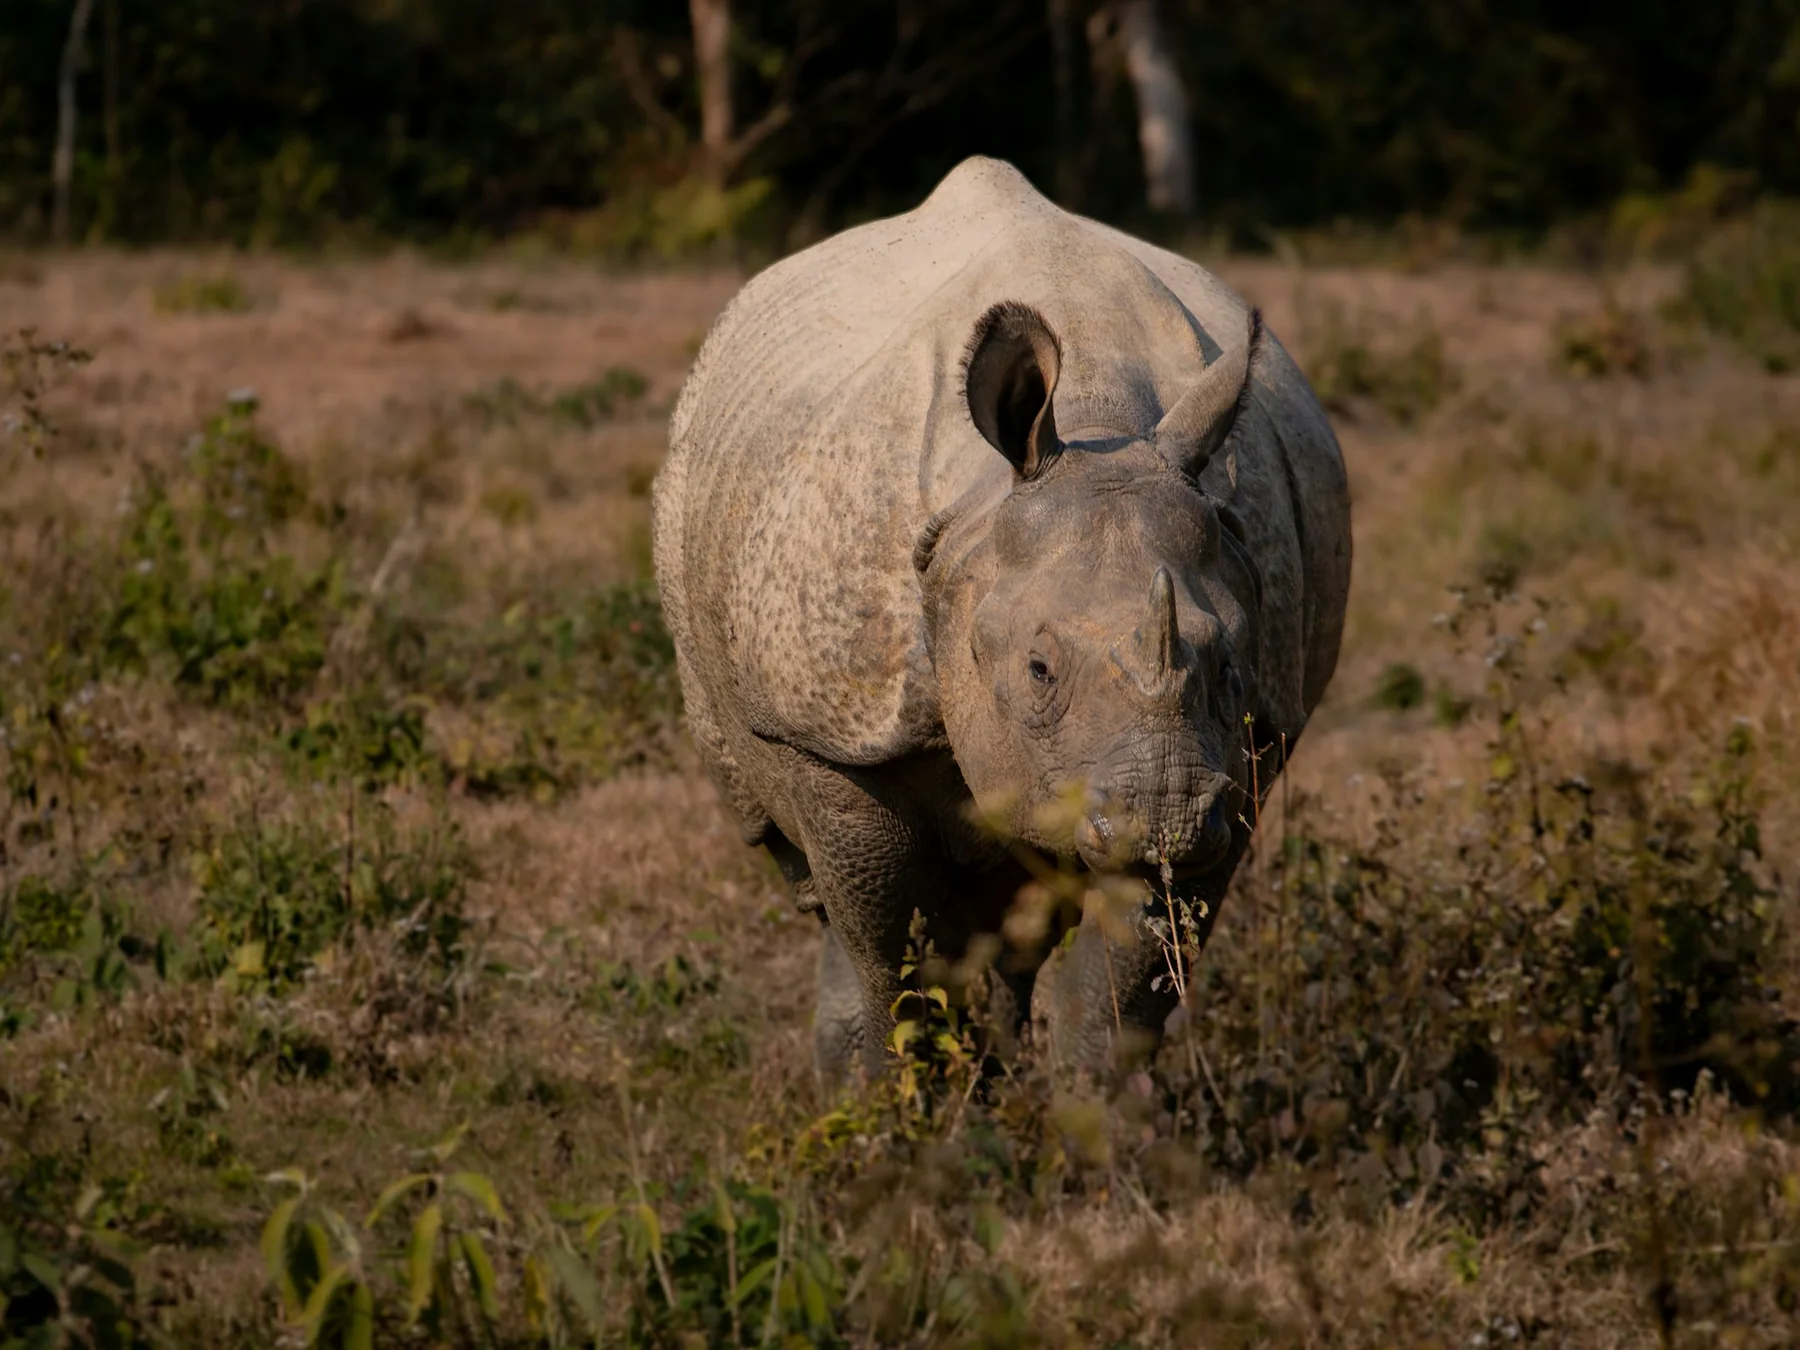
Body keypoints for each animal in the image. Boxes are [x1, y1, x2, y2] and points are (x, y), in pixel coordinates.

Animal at [653, 156, 1351, 1083]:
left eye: (1231, 666)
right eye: (1037, 669)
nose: (1163, 811)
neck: (1096, 432)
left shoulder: (1243, 752)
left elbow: (1123, 986)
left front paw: (1090, 1115)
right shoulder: (830, 731)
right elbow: (889, 952)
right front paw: (894, 1108)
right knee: (820, 888)